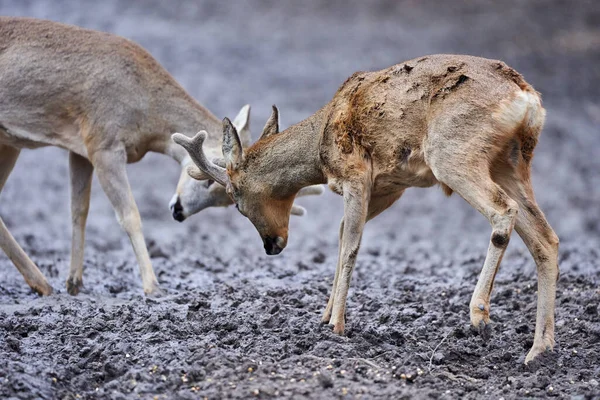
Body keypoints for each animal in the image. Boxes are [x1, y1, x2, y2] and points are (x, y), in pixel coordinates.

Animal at [0, 16, 322, 296]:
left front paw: (74, 283)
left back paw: (42, 284)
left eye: (227, 200)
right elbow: (130, 214)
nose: (178, 211)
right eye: (209, 182)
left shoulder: (80, 148)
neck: (145, 115)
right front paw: (153, 287)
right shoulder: (103, 141)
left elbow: (79, 211)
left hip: (9, 143)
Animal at [176, 54, 560, 364]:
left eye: (236, 200)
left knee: (503, 211)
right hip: (510, 163)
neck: (320, 146)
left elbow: (351, 244)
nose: (272, 245)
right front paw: (324, 316)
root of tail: (527, 100)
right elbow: (342, 234)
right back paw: (539, 350)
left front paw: (337, 324)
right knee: (545, 238)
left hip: (454, 153)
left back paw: (480, 316)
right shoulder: (390, 187)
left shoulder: (356, 173)